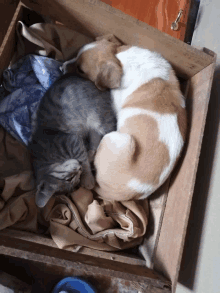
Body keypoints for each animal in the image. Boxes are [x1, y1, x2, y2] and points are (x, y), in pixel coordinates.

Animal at [29, 74, 117, 209]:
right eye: (73, 181)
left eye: (69, 179)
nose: (78, 169)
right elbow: (84, 157)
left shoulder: (72, 141)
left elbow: (83, 161)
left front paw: (88, 179)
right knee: (96, 139)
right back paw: (91, 153)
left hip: (99, 119)